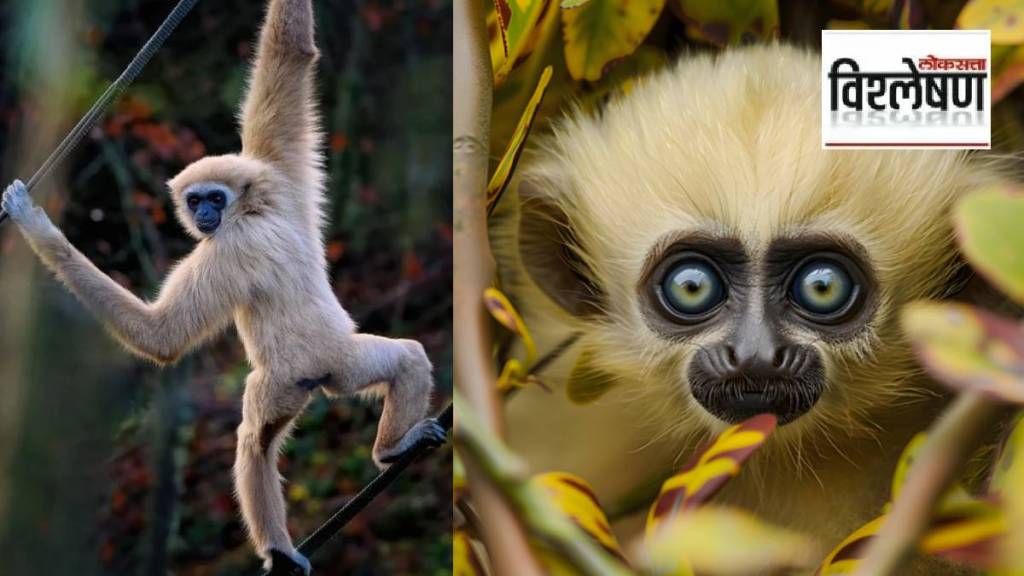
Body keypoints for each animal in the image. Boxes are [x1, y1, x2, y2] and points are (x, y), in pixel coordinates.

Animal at [1, 0, 445, 572]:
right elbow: (290, 57)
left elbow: (163, 338)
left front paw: (37, 226)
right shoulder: (280, 176)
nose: (205, 213)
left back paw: (289, 537)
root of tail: (325, 368)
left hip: (290, 377)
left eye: (212, 198)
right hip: (348, 362)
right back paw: (389, 451)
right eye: (195, 200)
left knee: (253, 439)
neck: (253, 209)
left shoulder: (227, 247)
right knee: (407, 357)